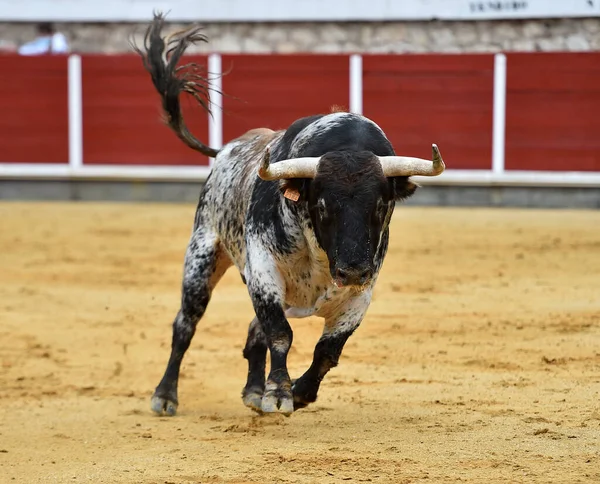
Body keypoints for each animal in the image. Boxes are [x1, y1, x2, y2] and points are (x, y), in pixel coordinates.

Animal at [136, 14, 446, 416]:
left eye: (381, 206)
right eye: (323, 206)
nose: (352, 271)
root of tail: (226, 150)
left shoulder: (360, 295)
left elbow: (326, 350)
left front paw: (298, 392)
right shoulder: (264, 271)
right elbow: (280, 334)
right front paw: (279, 393)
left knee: (254, 333)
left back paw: (253, 391)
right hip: (202, 256)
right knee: (186, 325)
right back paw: (166, 396)